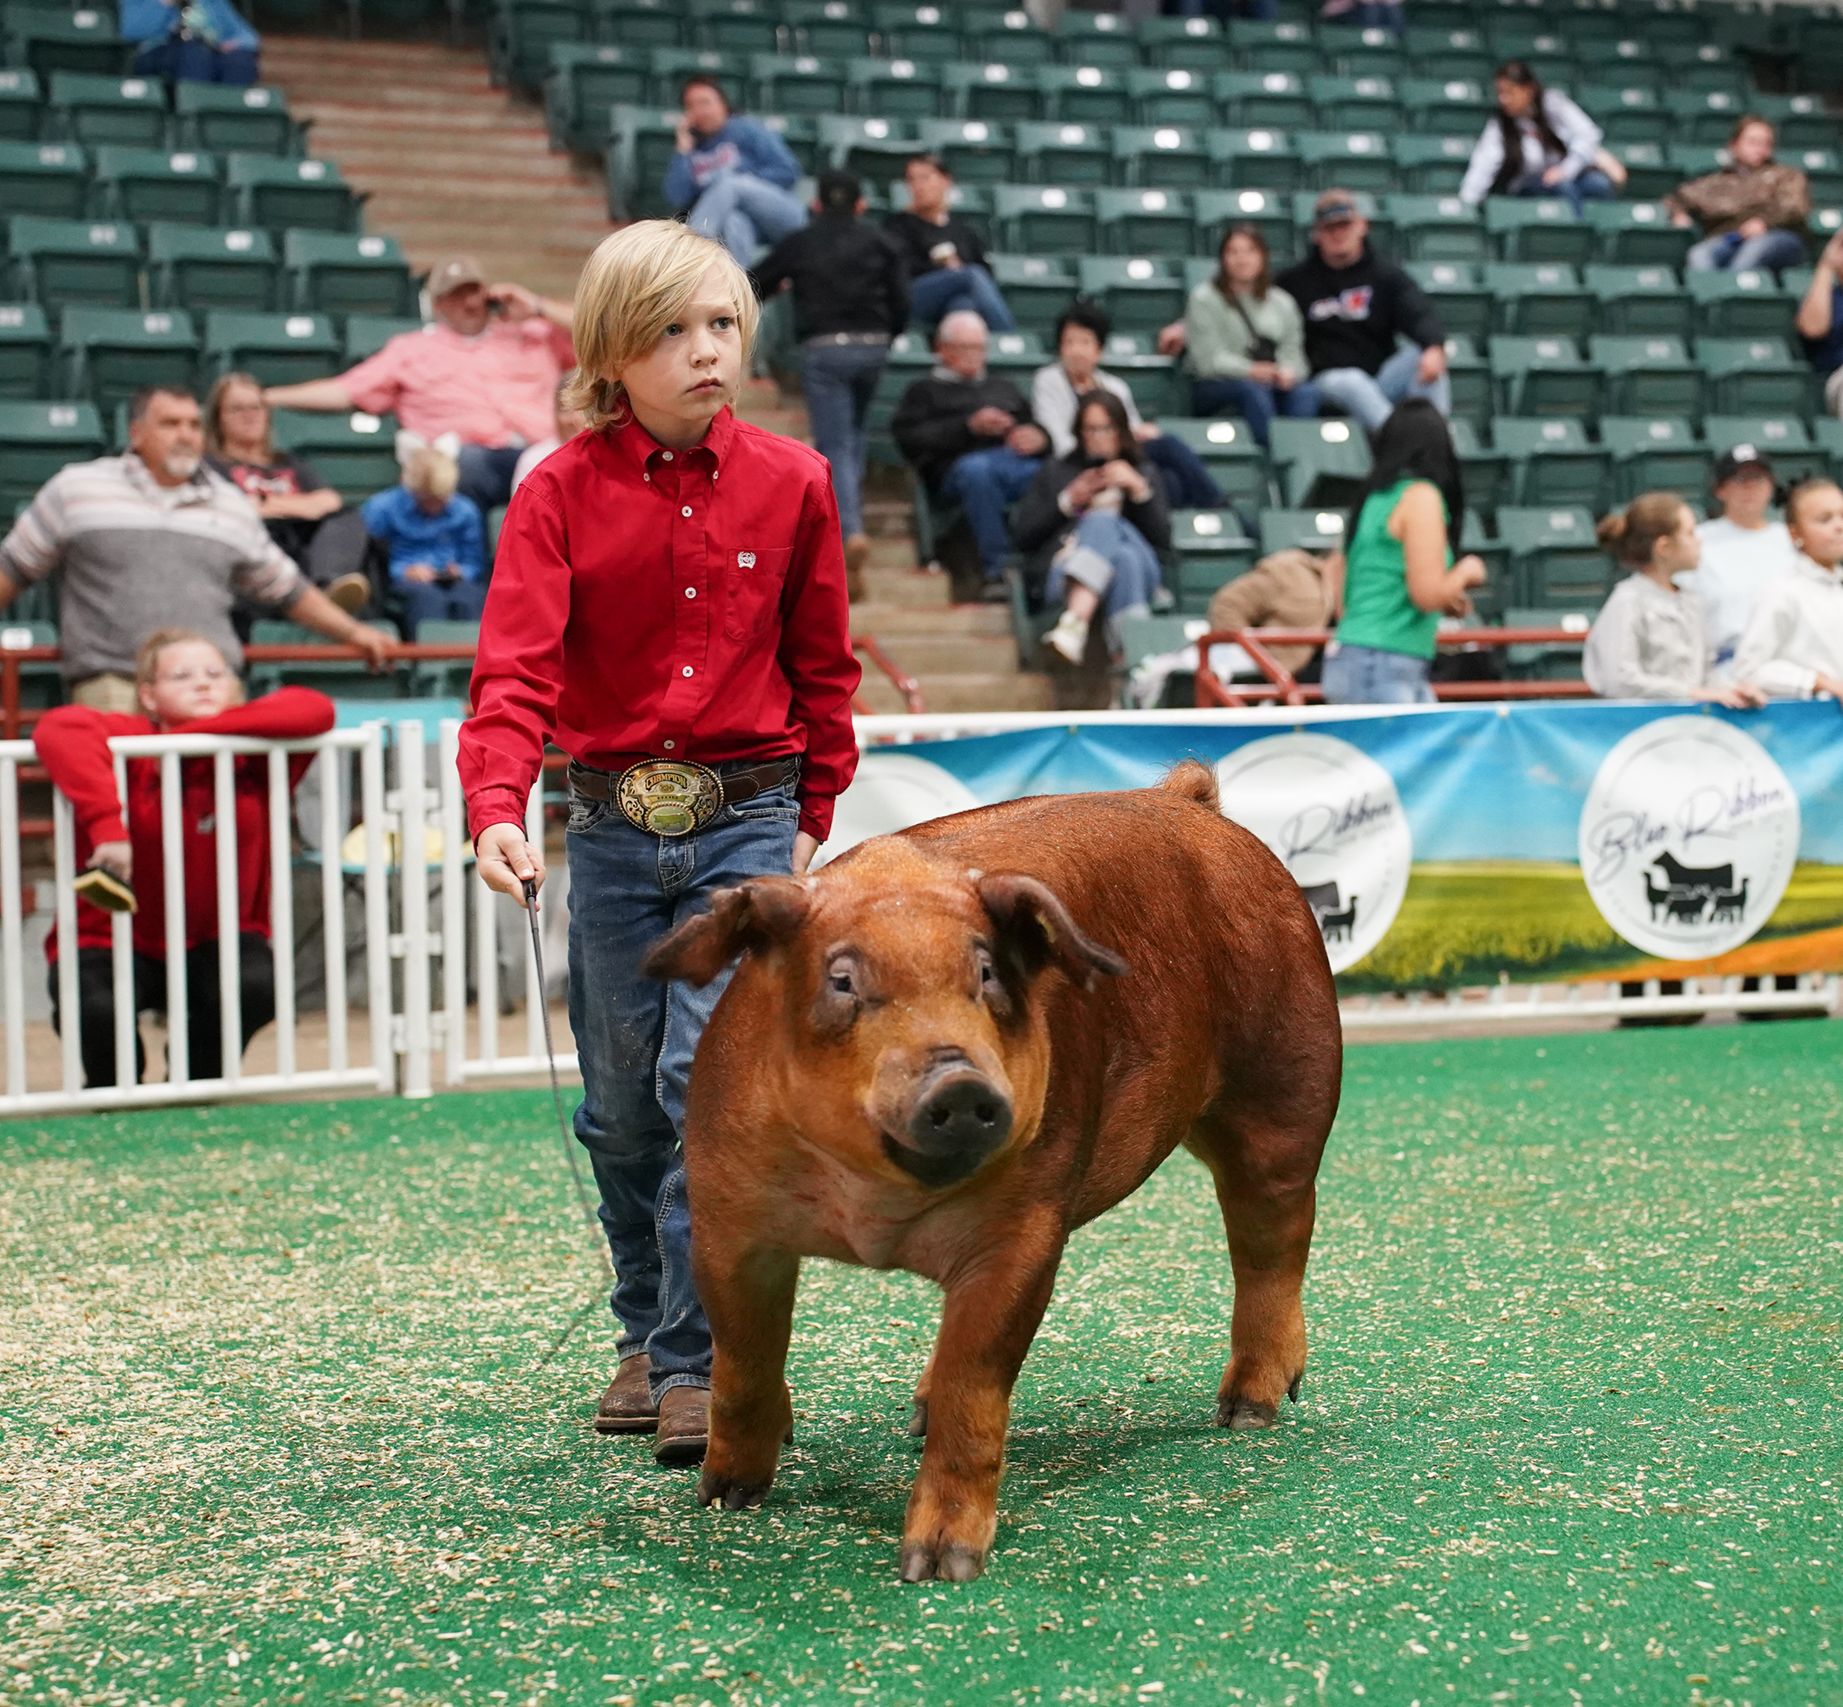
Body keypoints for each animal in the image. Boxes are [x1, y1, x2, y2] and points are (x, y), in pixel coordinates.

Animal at [642, 762, 1341, 1583]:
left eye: (986, 974)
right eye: (842, 980)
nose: (958, 1080)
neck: (872, 1214)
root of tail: (1185, 799)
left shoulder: (1022, 1229)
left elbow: (972, 1383)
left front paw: (940, 1566)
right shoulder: (729, 1216)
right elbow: (745, 1355)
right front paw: (724, 1496)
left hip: (1287, 1084)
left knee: (1272, 1240)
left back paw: (1247, 1411)